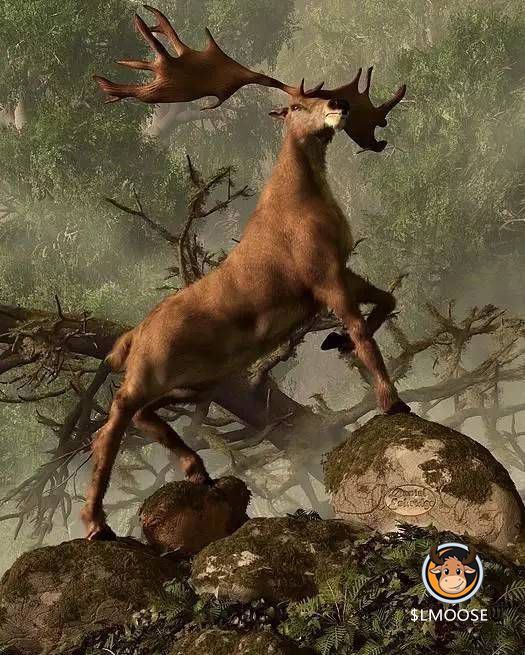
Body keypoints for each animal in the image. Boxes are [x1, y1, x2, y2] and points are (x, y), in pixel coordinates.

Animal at [83, 5, 409, 540]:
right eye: (296, 106)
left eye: (326, 94)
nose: (338, 104)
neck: (299, 205)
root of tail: (131, 337)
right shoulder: (321, 273)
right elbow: (364, 331)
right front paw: (391, 401)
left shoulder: (338, 270)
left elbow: (387, 300)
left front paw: (334, 342)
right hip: (151, 370)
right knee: (111, 423)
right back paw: (96, 522)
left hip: (195, 378)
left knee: (144, 417)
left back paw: (196, 468)